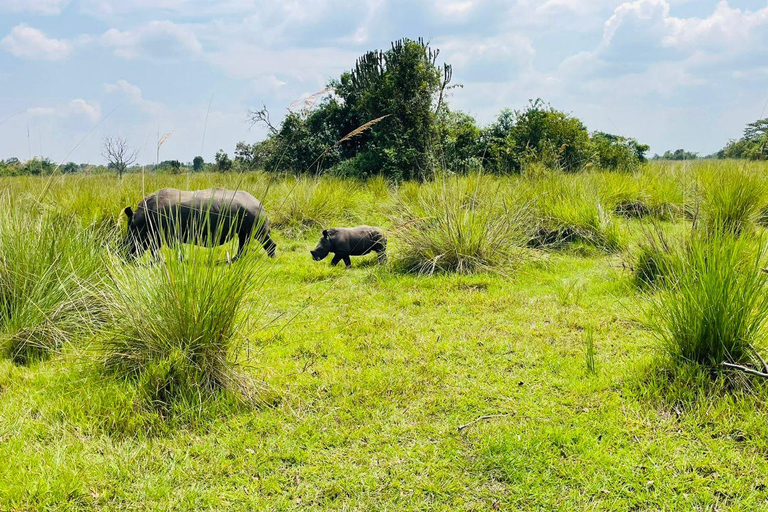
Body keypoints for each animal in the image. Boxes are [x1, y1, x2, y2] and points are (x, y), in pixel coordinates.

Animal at [121, 188, 276, 261]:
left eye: (131, 239)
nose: (122, 256)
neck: (142, 220)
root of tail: (259, 203)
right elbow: (163, 249)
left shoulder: (159, 233)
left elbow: (156, 249)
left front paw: (159, 263)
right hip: (247, 212)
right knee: (244, 237)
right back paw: (235, 259)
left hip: (252, 212)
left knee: (259, 236)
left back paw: (271, 258)